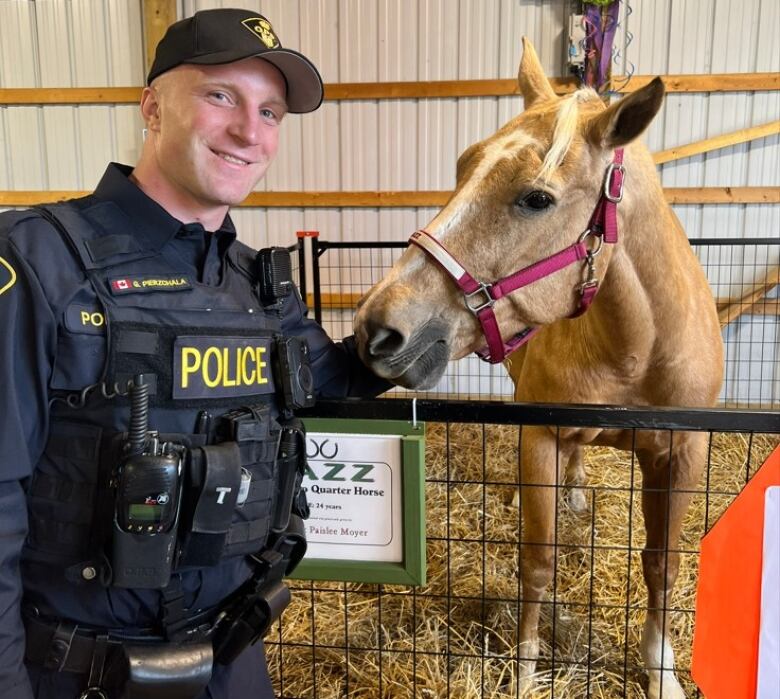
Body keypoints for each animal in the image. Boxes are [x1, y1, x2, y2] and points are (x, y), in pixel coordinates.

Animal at [356, 41, 724, 699]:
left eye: (537, 199)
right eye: (463, 165)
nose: (378, 328)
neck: (637, 349)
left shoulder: (684, 452)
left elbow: (662, 563)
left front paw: (660, 669)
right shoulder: (542, 437)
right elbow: (538, 560)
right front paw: (527, 670)